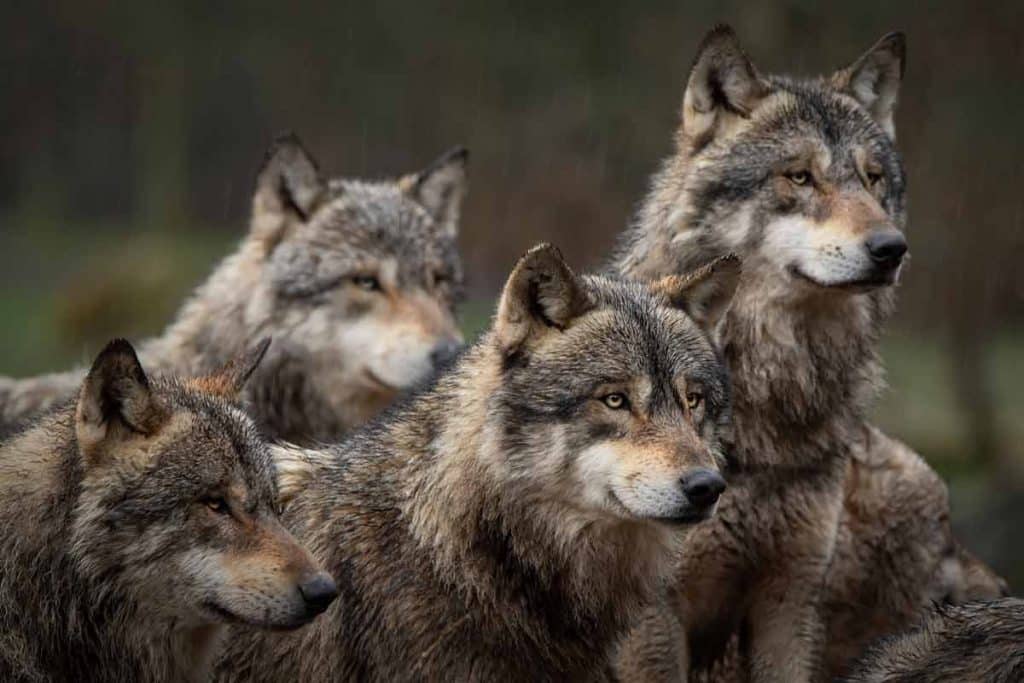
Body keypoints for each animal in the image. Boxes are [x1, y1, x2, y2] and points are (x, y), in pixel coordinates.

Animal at [607, 24, 992, 682]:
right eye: (800, 177)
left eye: (873, 179)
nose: (892, 248)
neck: (773, 393)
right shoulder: (653, 617)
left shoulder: (789, 598)